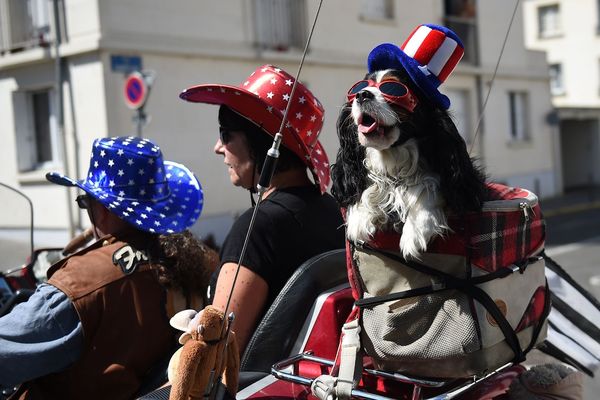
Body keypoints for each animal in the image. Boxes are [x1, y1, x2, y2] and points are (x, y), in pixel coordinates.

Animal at [332, 24, 488, 260]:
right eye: (359, 87)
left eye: (393, 89)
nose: (362, 95)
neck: (393, 165)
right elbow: (365, 191)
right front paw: (359, 217)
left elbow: (430, 188)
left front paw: (415, 231)